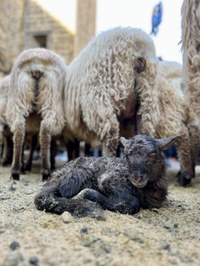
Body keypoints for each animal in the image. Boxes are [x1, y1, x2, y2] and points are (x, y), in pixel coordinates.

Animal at [5, 47, 66, 181]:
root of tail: (37, 64)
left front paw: (26, 165)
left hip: (20, 94)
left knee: (19, 130)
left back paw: (15, 171)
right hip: (51, 95)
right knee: (45, 130)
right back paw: (46, 171)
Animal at [34, 135, 178, 216]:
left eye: (153, 154)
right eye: (126, 155)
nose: (137, 178)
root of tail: (55, 176)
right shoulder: (106, 179)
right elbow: (131, 203)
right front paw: (87, 195)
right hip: (77, 175)